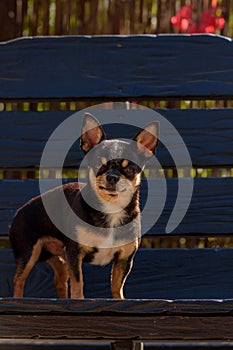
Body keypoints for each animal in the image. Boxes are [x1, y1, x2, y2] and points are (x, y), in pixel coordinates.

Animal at [9, 113, 158, 300]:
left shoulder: (124, 259)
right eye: (99, 164)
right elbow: (78, 282)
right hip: (29, 253)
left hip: (55, 255)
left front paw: (120, 300)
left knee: (59, 279)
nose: (112, 177)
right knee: (19, 280)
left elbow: (117, 285)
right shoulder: (74, 253)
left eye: (130, 169)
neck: (111, 208)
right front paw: (78, 300)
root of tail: (19, 211)